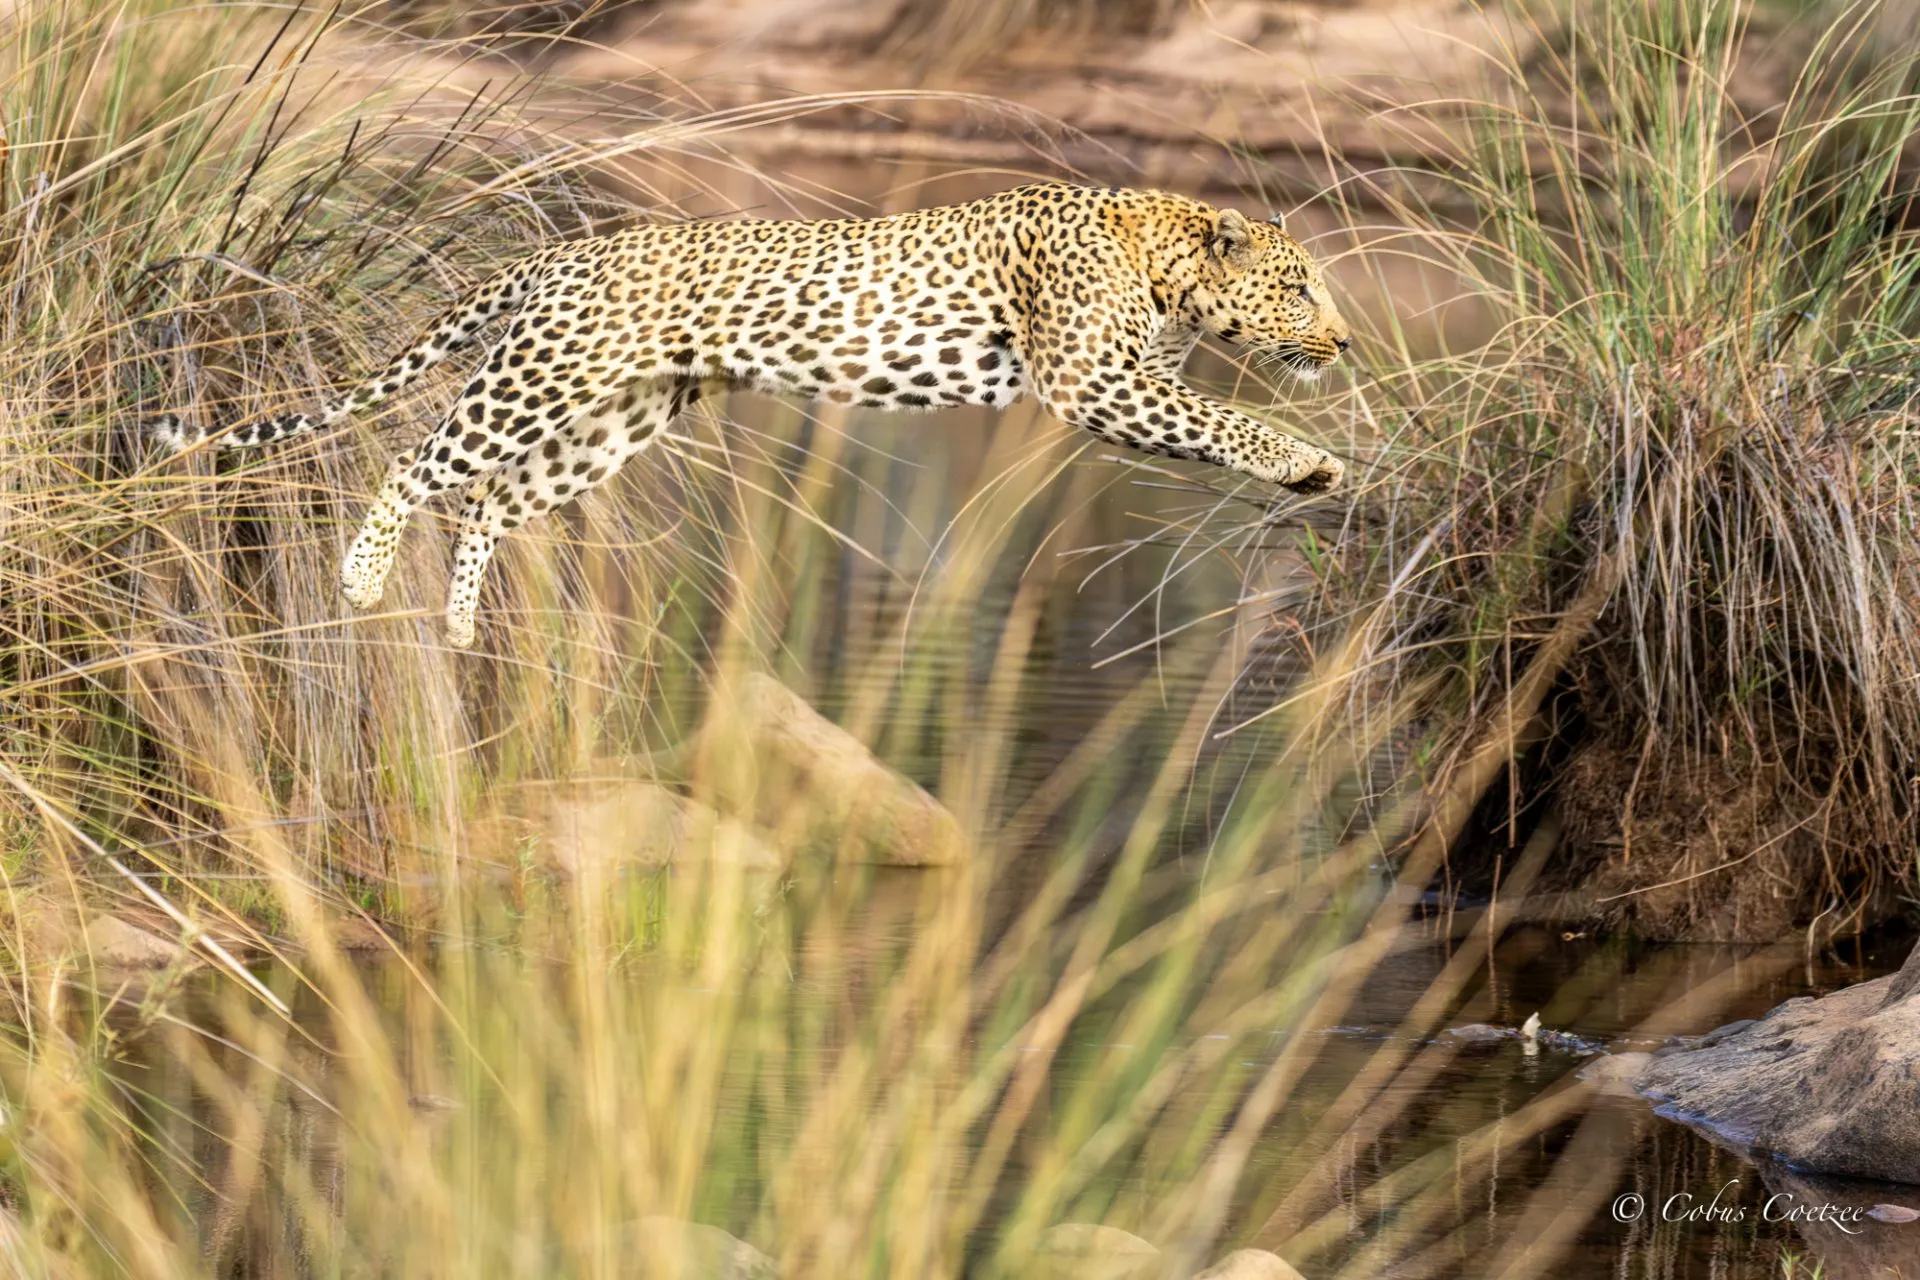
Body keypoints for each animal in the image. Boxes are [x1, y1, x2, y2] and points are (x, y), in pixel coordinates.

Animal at [149, 181, 1353, 649]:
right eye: (1302, 288)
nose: (1346, 342)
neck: (1167, 265)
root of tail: (558, 254)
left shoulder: (1130, 382)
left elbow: (1206, 421)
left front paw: (1311, 465)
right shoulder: (1097, 381)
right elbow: (1227, 419)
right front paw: (1311, 461)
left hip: (613, 423)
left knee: (488, 499)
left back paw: (455, 626)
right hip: (537, 382)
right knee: (414, 458)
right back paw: (360, 581)